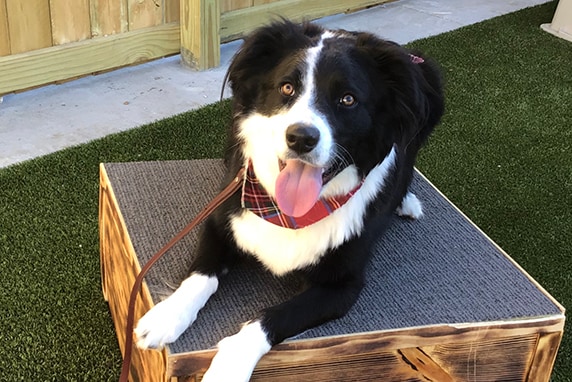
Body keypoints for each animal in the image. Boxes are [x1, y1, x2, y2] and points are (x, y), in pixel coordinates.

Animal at [134, 20, 442, 380]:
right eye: (286, 88)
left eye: (347, 99)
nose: (301, 138)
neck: (286, 213)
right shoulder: (221, 221)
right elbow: (201, 274)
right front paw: (166, 316)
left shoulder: (343, 286)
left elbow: (273, 316)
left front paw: (229, 365)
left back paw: (407, 202)